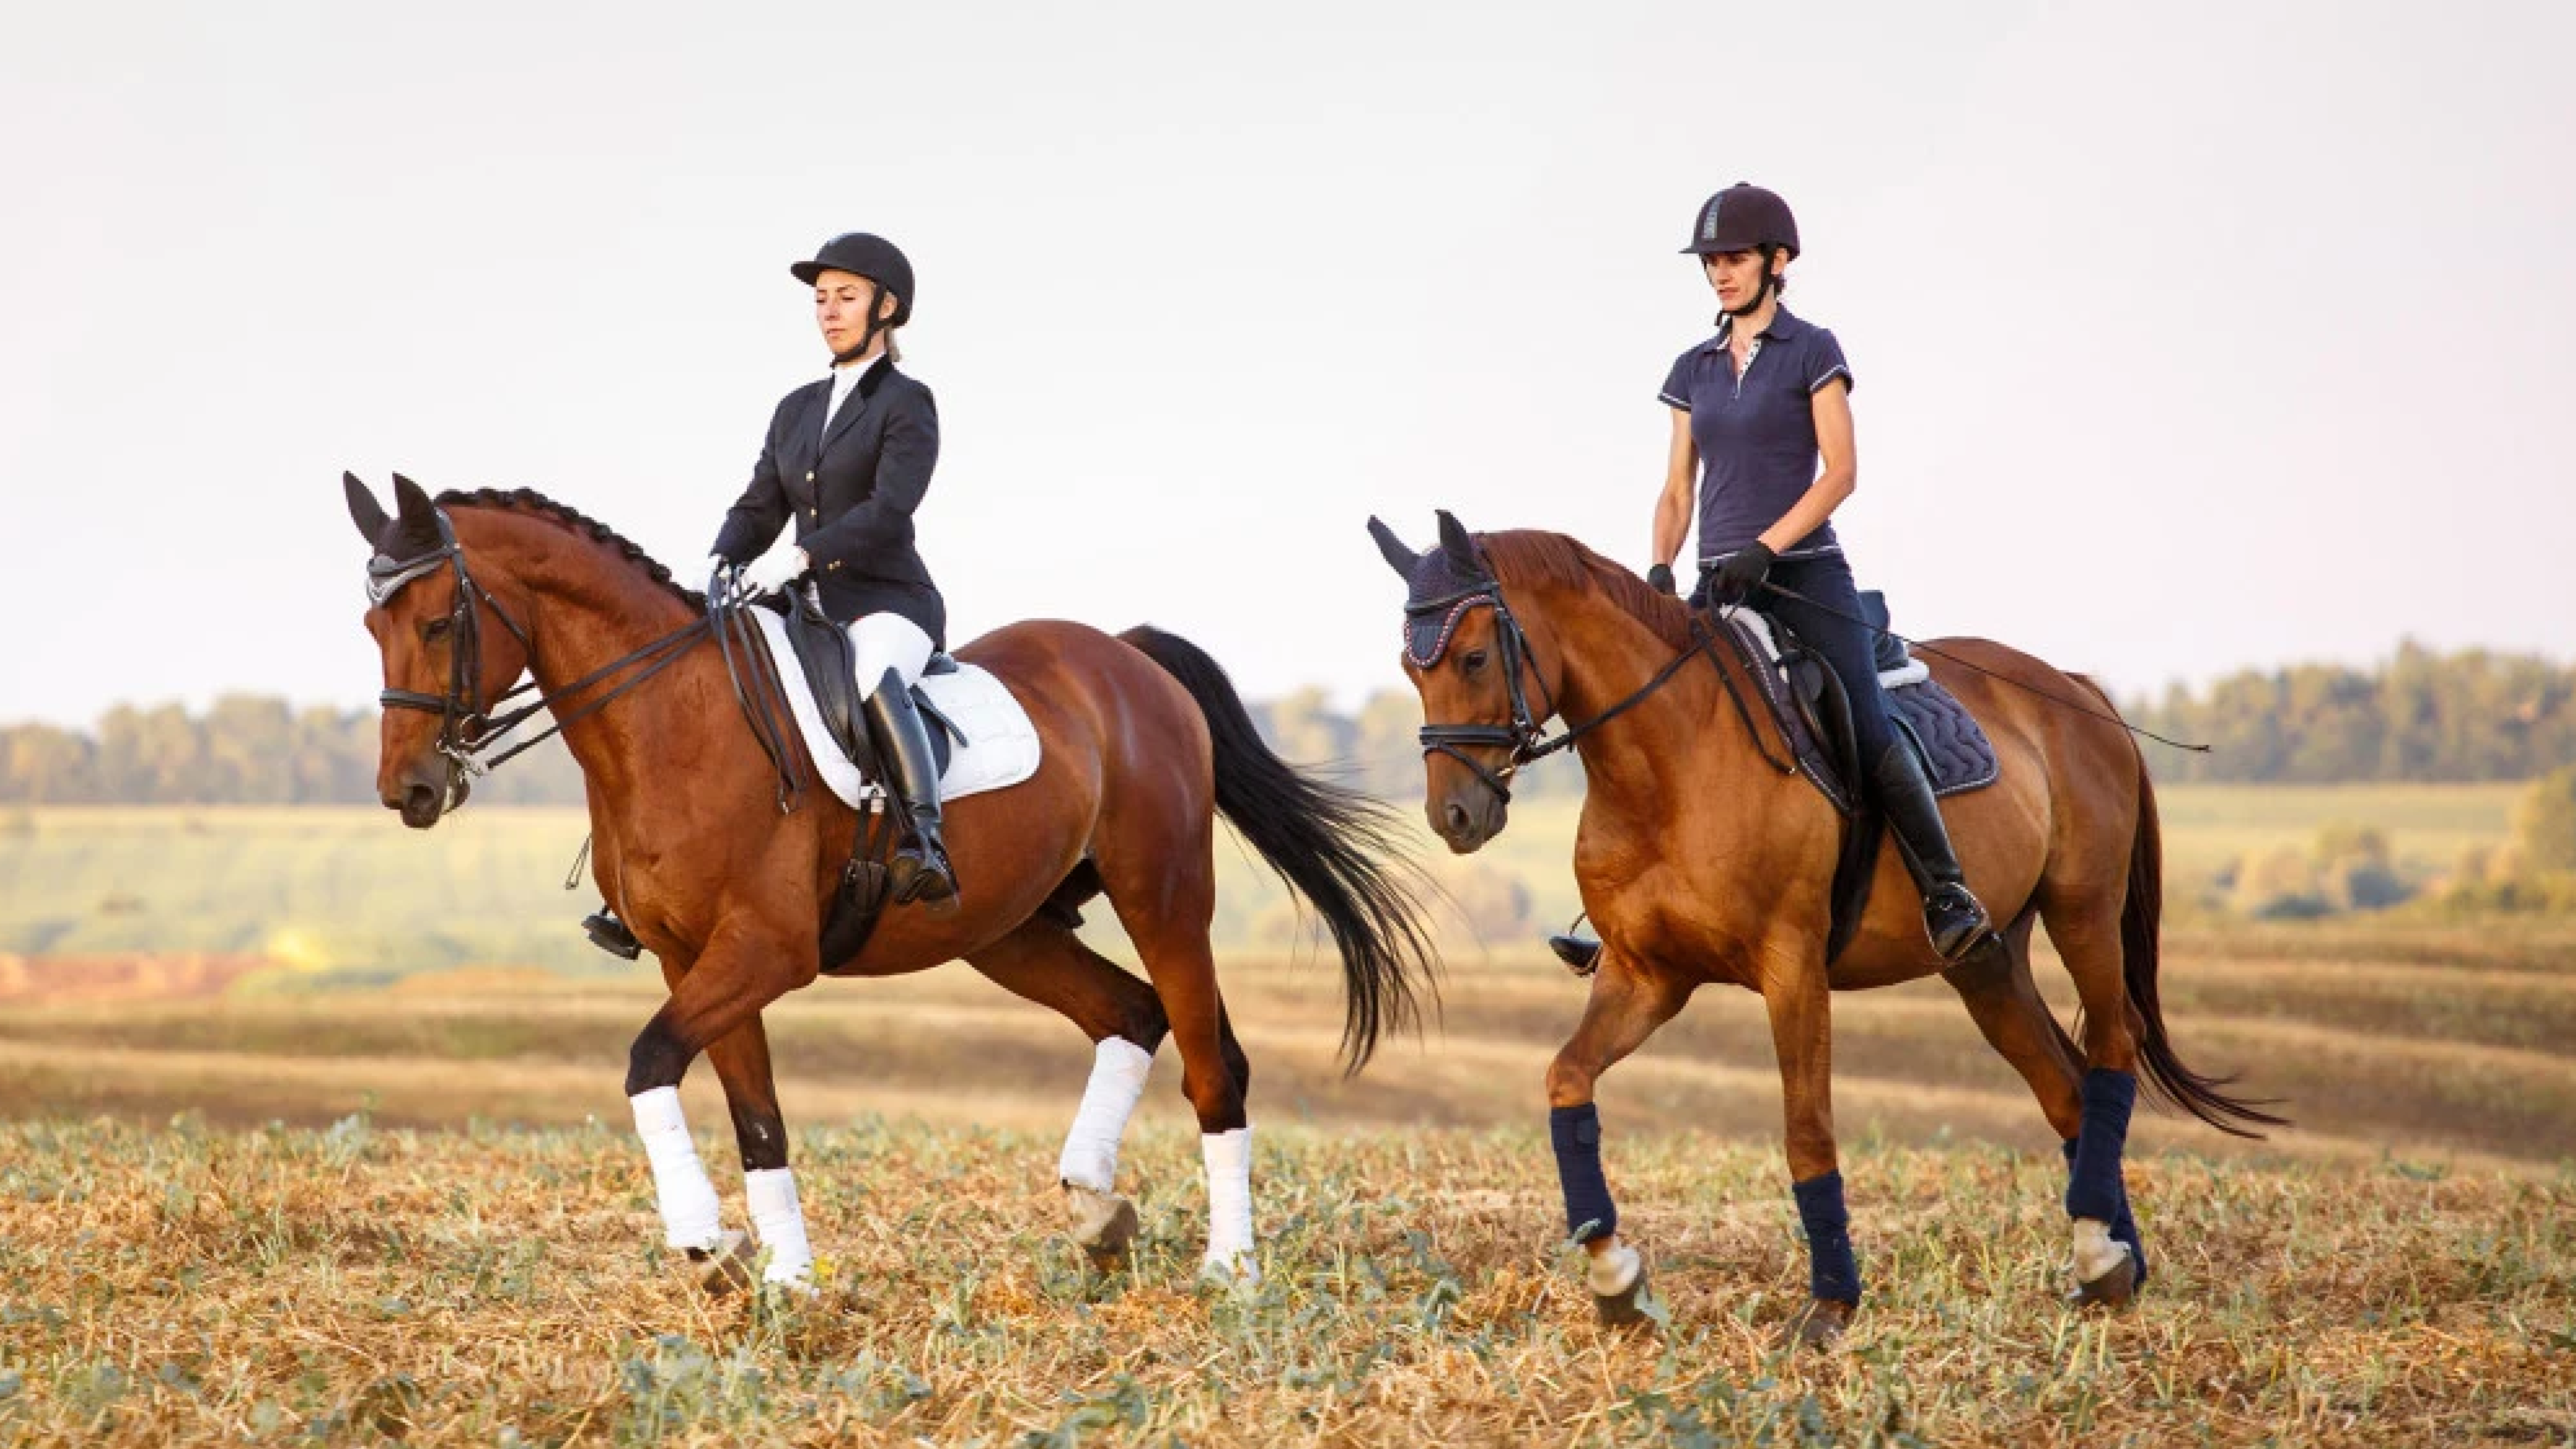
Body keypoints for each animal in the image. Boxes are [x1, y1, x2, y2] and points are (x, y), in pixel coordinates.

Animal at [341, 472, 1437, 1291]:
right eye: (370, 626)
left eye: (436, 625)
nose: (410, 789)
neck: (669, 722)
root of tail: (1127, 658)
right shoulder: (691, 960)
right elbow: (756, 1118)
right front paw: (787, 1281)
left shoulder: (765, 950)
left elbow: (649, 1062)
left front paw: (707, 1242)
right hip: (1007, 931)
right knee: (1129, 1012)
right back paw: (1096, 1210)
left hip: (1162, 898)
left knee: (1212, 1064)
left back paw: (1228, 1267)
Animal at [1369, 511, 2280, 1345]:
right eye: (1409, 668)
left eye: (1474, 657)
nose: (1455, 816)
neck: (1665, 762)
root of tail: (2073, 687)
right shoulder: (1646, 977)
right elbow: (1567, 1082)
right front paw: (1616, 1280)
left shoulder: (1792, 968)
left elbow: (1806, 1133)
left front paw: (1830, 1306)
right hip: (1986, 961)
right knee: (2064, 1086)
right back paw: (2110, 1259)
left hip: (2081, 910)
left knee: (2111, 1050)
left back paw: (2101, 1250)